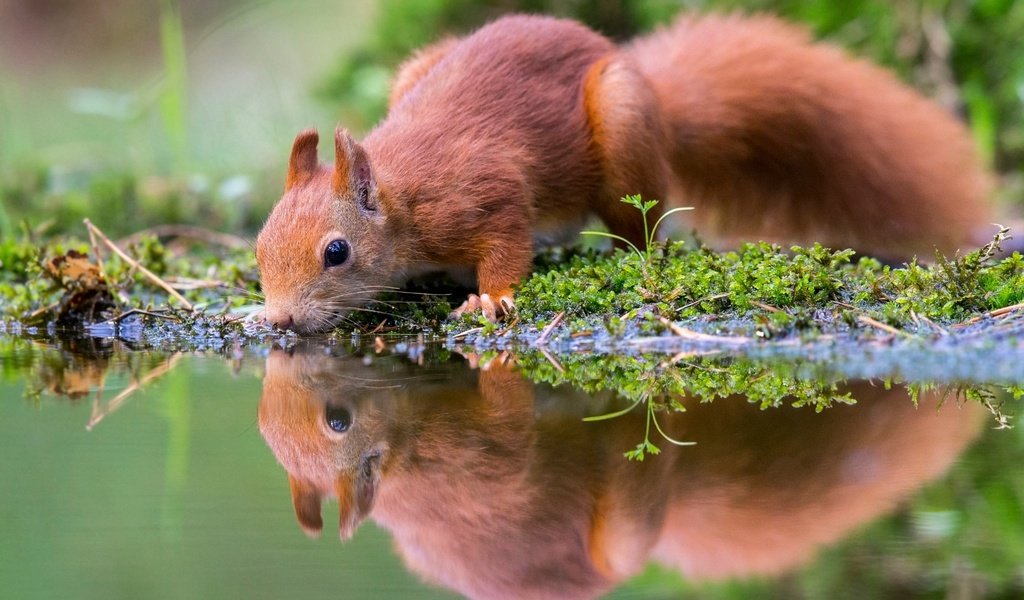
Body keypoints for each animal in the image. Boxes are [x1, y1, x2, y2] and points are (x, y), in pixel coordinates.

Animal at [253, 12, 991, 331]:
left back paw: (627, 253)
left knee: (644, 227)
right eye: (259, 246)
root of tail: (656, 93)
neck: (402, 197)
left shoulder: (485, 194)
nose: (281, 321)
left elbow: (506, 244)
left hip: (624, 130)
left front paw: (492, 298)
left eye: (337, 252)